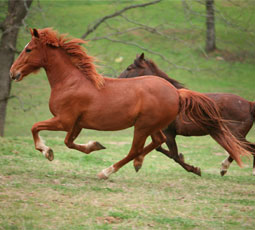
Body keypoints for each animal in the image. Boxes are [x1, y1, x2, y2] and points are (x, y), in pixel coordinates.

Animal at [118, 53, 254, 176]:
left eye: (129, 68)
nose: (118, 80)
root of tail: (249, 104)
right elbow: (162, 149)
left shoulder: (169, 134)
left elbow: (173, 155)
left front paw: (195, 170)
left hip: (234, 135)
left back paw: (226, 168)